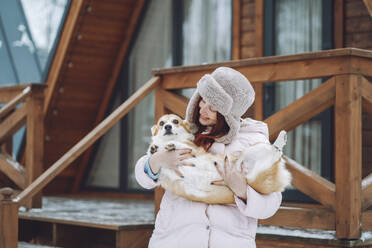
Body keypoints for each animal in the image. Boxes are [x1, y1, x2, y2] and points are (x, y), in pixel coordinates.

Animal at [147, 114, 290, 203]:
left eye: (175, 121)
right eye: (161, 123)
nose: (167, 126)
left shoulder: (194, 150)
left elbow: (181, 145)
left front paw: (171, 145)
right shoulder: (164, 175)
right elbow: (152, 156)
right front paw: (154, 149)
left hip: (255, 155)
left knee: (276, 151)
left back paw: (282, 137)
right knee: (276, 151)